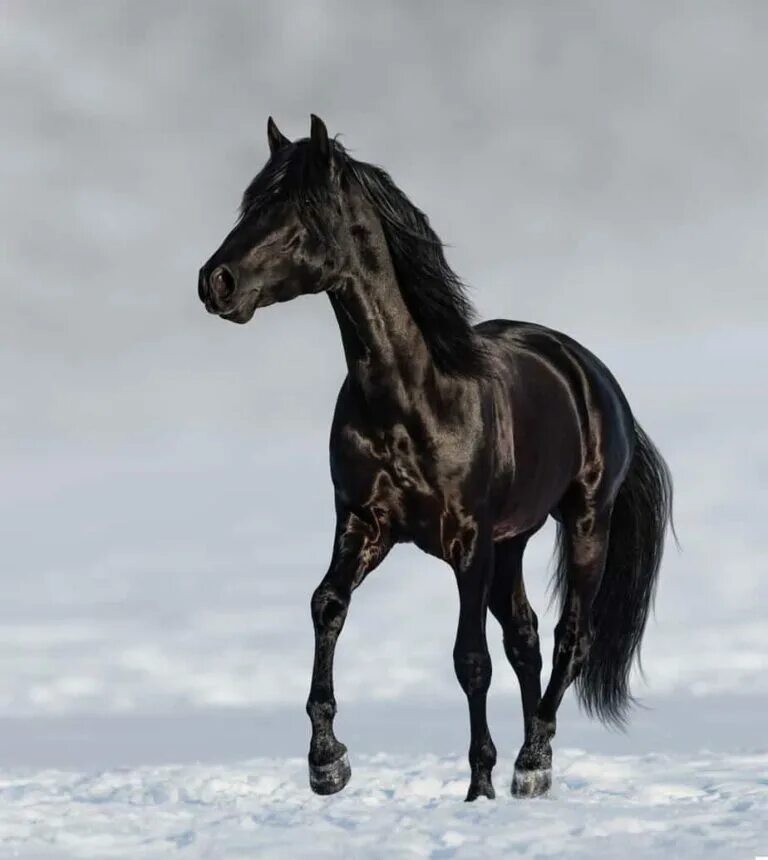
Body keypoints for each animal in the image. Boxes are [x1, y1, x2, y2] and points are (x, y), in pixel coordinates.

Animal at [198, 114, 672, 800]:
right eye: (250, 203)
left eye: (298, 210)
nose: (216, 283)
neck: (412, 398)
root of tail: (589, 371)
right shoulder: (362, 524)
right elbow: (326, 606)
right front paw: (327, 763)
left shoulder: (467, 541)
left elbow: (469, 660)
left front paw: (479, 787)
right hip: (512, 541)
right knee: (526, 636)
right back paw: (536, 764)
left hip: (584, 522)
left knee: (569, 639)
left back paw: (531, 762)